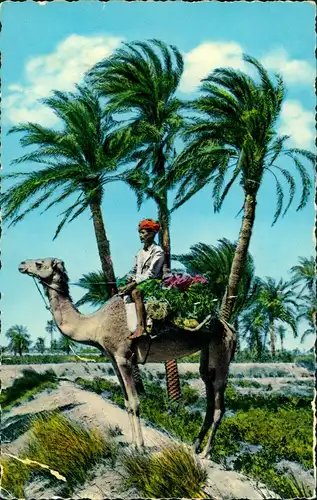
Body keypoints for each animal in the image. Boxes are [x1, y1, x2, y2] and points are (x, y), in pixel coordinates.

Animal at [17, 258, 235, 458]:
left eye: (39, 263)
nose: (21, 265)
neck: (95, 325)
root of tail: (229, 328)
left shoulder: (124, 358)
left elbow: (135, 402)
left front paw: (141, 447)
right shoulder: (114, 360)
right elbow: (127, 402)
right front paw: (133, 444)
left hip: (221, 350)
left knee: (219, 406)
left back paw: (205, 452)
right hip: (207, 352)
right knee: (209, 394)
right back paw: (194, 446)